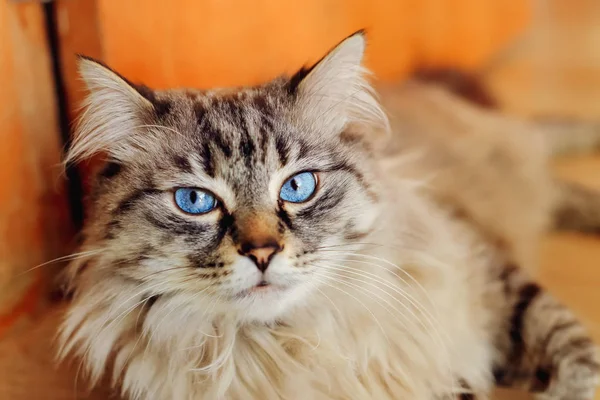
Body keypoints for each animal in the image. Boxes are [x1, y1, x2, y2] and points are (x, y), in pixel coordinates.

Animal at [57, 32, 600, 400]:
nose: (262, 253)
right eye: (195, 201)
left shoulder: (484, 270)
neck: (287, 348)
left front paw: (567, 388)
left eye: (298, 187)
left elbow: (568, 343)